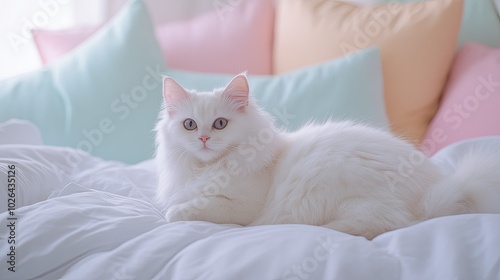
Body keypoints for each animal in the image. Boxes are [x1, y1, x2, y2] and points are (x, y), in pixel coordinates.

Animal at [155, 74, 500, 238]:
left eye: (220, 124)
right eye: (189, 125)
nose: (203, 138)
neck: (208, 169)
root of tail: (435, 190)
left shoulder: (241, 207)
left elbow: (194, 208)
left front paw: (175, 213)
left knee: (383, 224)